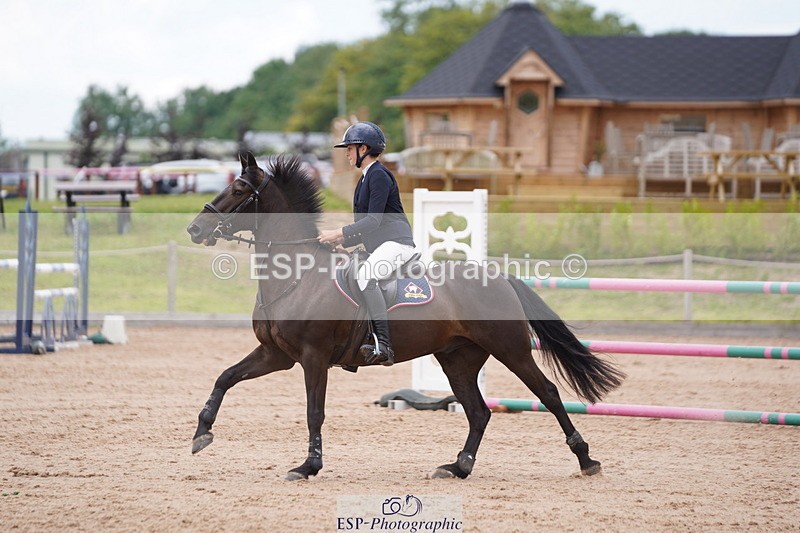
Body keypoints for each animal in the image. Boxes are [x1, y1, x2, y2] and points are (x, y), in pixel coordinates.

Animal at [186, 151, 624, 481]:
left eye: (238, 189)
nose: (195, 229)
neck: (297, 275)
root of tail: (499, 277)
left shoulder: (313, 357)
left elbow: (314, 412)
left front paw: (308, 466)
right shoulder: (276, 355)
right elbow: (225, 377)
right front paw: (201, 434)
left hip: (510, 349)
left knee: (547, 394)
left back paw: (587, 460)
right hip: (458, 358)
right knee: (478, 411)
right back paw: (458, 467)